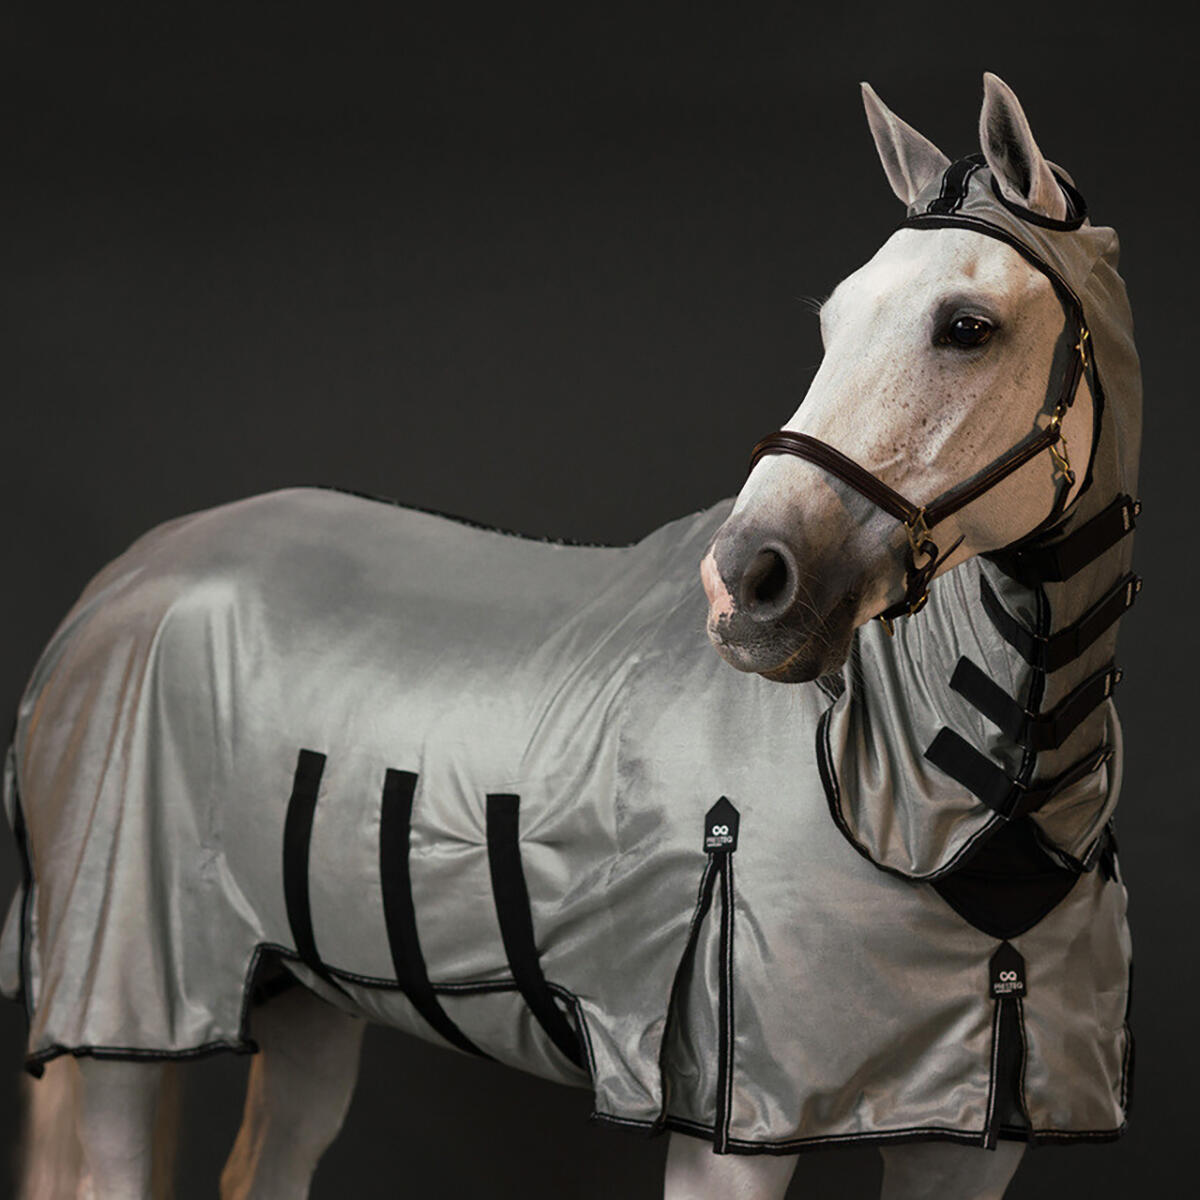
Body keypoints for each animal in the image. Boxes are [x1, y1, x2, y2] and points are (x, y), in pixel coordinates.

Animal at [3, 73, 1140, 1199]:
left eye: (967, 326)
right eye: (831, 324)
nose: (746, 583)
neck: (935, 808)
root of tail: (128, 575)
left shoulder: (966, 1142)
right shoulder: (727, 1127)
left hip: (306, 995)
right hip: (124, 996)